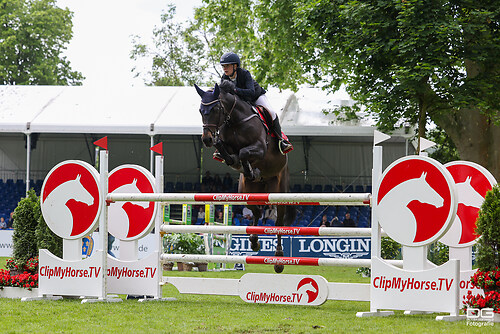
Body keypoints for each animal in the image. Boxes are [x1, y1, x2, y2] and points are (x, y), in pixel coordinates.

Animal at [195, 82, 296, 272]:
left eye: (216, 108)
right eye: (200, 110)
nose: (206, 139)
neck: (235, 120)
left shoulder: (260, 148)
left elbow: (243, 152)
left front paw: (248, 167)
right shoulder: (227, 146)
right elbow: (228, 153)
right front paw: (243, 166)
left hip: (278, 191)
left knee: (279, 222)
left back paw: (278, 259)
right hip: (247, 192)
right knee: (256, 211)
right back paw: (254, 241)